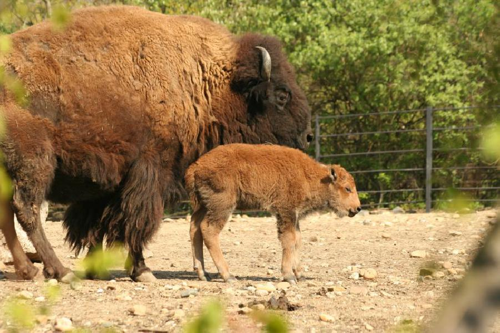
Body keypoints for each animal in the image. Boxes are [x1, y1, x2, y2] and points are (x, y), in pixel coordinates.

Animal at [0, 5, 312, 280]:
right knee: (26, 210)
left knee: (9, 214)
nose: (307, 136)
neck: (206, 81)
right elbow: (137, 221)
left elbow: (98, 224)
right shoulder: (151, 171)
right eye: (282, 94)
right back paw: (58, 271)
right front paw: (142, 271)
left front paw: (97, 269)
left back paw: (29, 271)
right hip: (35, 162)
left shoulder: (108, 182)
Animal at [184, 143, 360, 282]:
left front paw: (298, 273)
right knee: (209, 231)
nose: (357, 208)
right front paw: (288, 276)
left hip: (203, 206)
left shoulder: (294, 216)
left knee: (194, 229)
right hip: (222, 206)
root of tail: (195, 167)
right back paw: (228, 275)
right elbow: (289, 240)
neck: (308, 175)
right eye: (347, 188)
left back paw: (203, 273)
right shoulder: (286, 211)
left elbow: (298, 240)